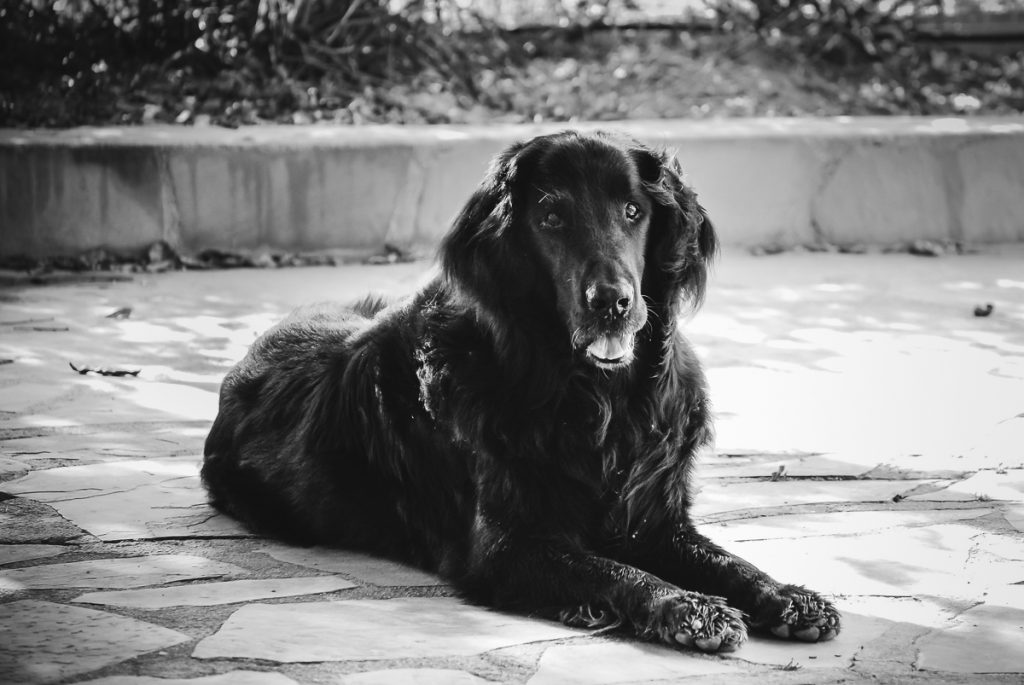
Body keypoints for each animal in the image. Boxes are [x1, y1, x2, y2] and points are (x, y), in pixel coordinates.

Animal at [201, 129, 839, 651]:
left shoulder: (655, 519)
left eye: (634, 211)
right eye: (551, 217)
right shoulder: (506, 548)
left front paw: (786, 595)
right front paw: (689, 608)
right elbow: (615, 572)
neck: (598, 399)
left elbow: (727, 560)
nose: (613, 303)